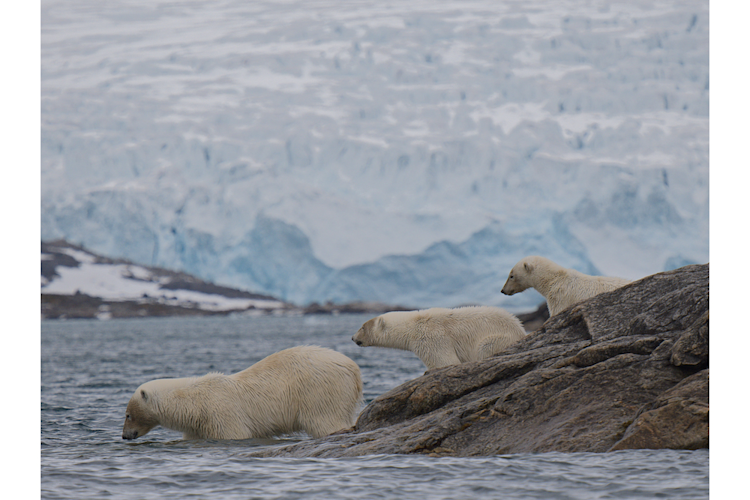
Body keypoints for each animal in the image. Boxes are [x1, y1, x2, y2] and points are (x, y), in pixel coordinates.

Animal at [121, 345, 363, 440]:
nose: (125, 436)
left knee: (325, 421)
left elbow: (234, 433)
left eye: (128, 415)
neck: (193, 403)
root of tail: (353, 368)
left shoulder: (221, 416)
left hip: (319, 390)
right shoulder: (197, 426)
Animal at [352, 306, 526, 370]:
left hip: (499, 337)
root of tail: (520, 329)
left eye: (362, 327)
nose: (353, 338)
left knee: (486, 346)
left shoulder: (431, 338)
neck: (414, 324)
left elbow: (445, 361)